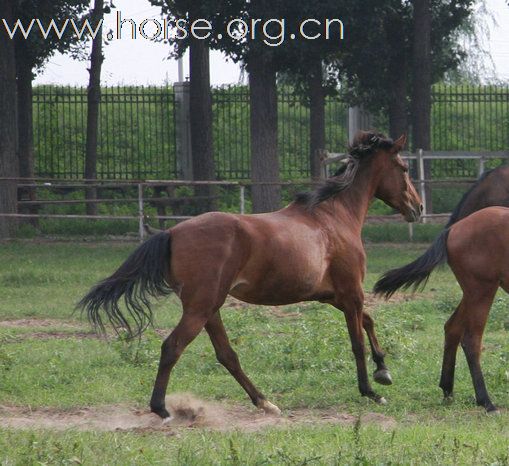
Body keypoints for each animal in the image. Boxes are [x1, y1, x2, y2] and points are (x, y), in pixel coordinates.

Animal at [79, 130, 420, 418]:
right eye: (403, 168)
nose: (416, 208)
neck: (334, 216)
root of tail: (172, 233)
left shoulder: (333, 295)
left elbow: (369, 322)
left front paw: (383, 371)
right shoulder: (351, 292)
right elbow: (357, 341)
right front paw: (371, 391)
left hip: (209, 308)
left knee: (226, 354)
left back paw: (265, 402)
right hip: (201, 308)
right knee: (172, 347)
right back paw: (161, 409)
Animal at [372, 208, 508, 412]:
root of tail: (453, 229)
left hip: (472, 293)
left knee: (452, 328)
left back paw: (447, 390)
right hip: (482, 290)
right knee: (471, 340)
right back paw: (486, 402)